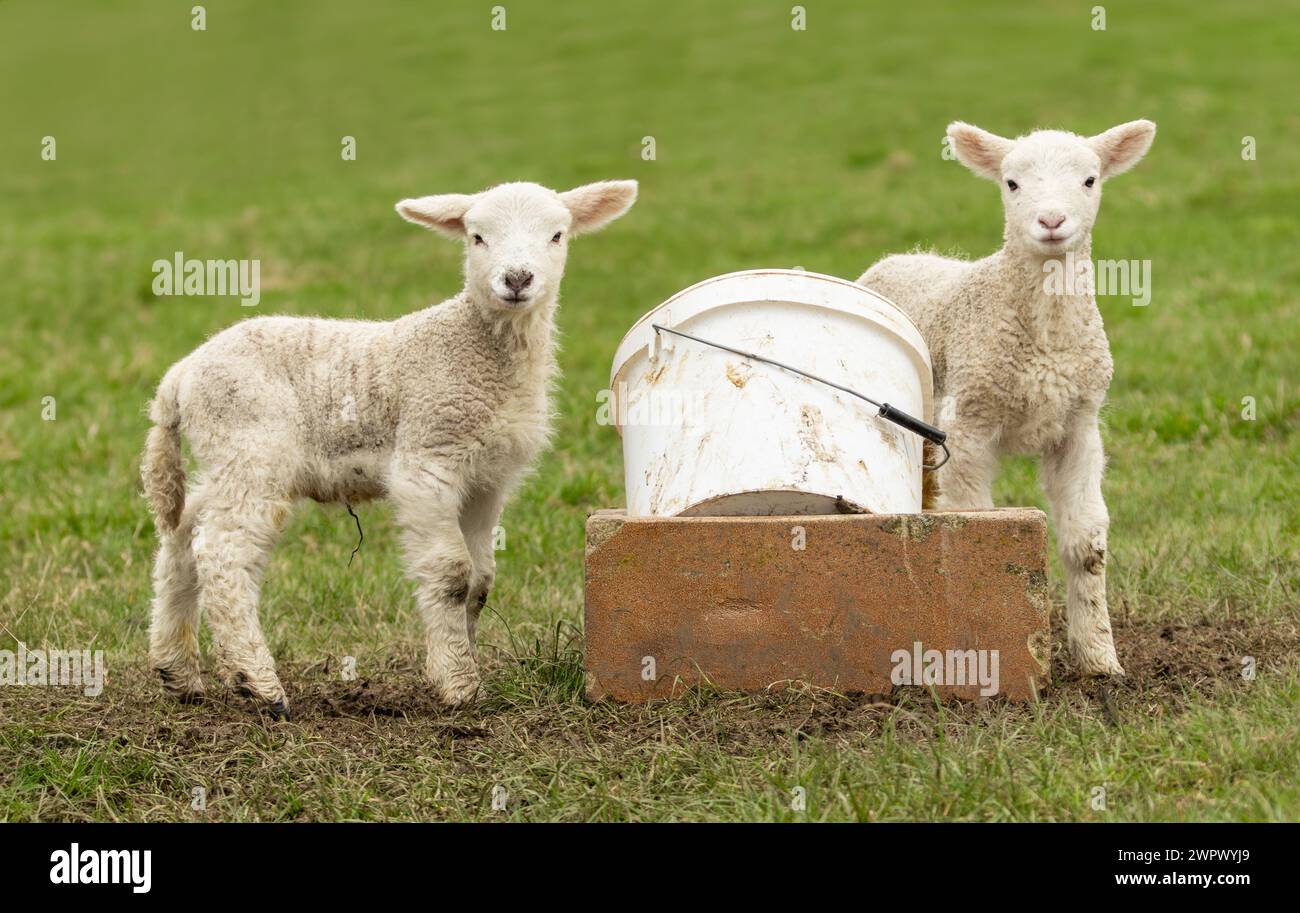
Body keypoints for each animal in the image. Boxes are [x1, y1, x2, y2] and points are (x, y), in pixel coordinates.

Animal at [142, 180, 639, 723]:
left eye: (557, 235)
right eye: (476, 236)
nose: (516, 279)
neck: (478, 348)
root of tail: (180, 375)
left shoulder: (488, 478)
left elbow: (481, 580)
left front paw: (461, 663)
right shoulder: (428, 456)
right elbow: (452, 574)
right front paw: (458, 685)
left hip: (225, 459)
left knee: (183, 536)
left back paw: (177, 672)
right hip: (251, 448)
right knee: (223, 553)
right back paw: (261, 685)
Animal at [857, 119, 1154, 681]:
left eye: (1089, 180)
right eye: (1011, 183)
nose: (1052, 220)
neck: (1046, 339)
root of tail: (900, 258)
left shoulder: (1078, 426)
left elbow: (1087, 546)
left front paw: (1100, 659)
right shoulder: (968, 425)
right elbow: (973, 526)